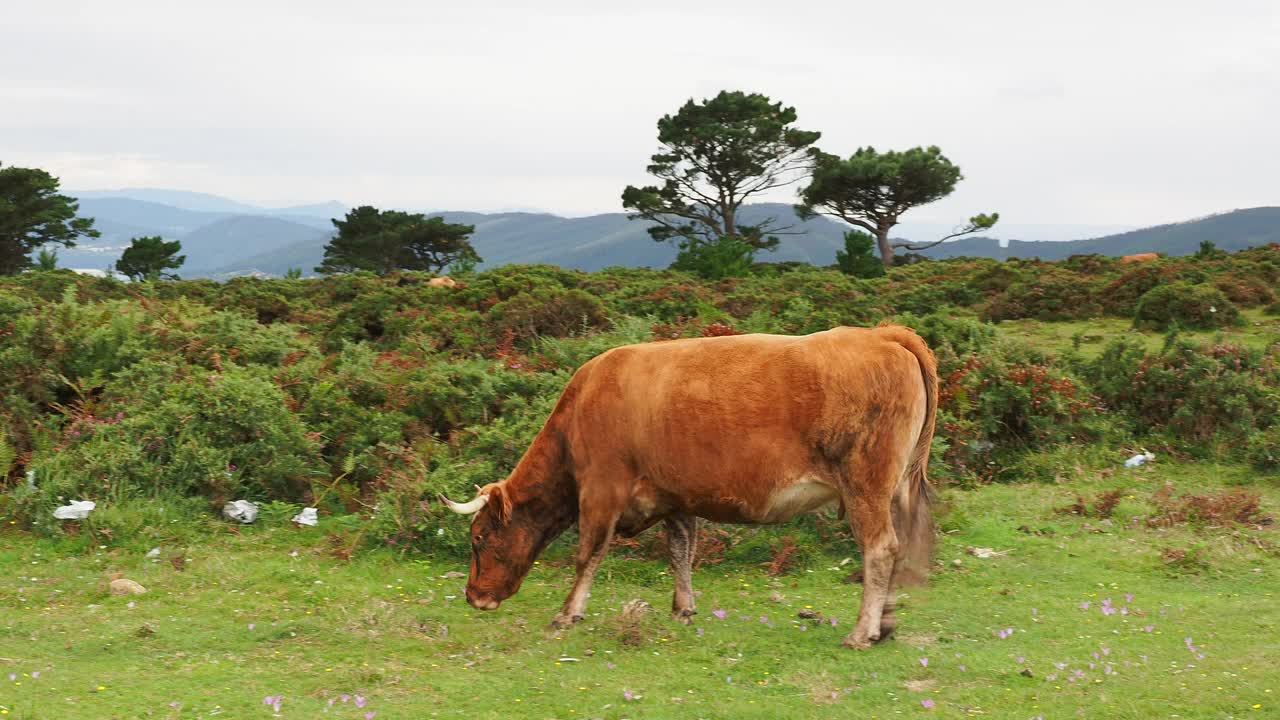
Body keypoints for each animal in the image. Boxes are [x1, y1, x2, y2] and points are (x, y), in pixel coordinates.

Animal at [445, 324, 936, 645]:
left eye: (479, 537)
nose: (473, 596)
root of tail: (882, 333)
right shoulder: (676, 497)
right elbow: (681, 550)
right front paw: (683, 608)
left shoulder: (601, 491)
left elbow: (588, 554)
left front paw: (568, 614)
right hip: (893, 489)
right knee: (899, 546)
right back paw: (886, 624)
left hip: (865, 484)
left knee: (880, 549)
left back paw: (861, 631)